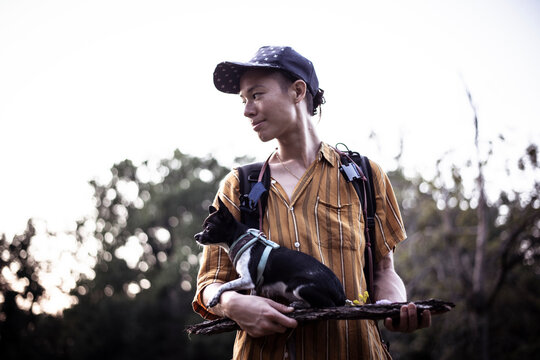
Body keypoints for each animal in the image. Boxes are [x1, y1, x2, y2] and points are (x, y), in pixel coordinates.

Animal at [194, 198, 346, 308]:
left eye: (208, 228)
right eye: (203, 227)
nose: (196, 236)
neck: (241, 240)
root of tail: (341, 294)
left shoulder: (248, 279)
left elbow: (225, 285)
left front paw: (214, 298)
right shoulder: (253, 285)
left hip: (300, 287)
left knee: (327, 304)